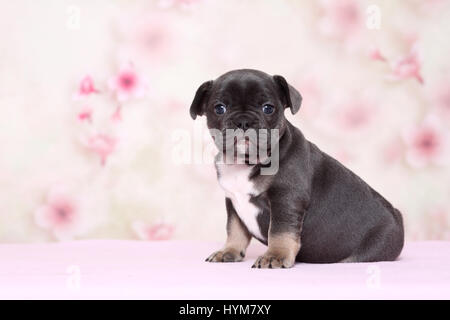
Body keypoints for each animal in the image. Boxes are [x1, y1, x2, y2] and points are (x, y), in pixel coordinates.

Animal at [190, 69, 404, 268]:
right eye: (219, 108)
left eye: (268, 108)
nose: (243, 121)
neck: (245, 162)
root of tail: (398, 219)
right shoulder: (233, 202)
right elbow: (234, 229)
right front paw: (228, 251)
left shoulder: (286, 198)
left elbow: (280, 231)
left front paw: (275, 256)